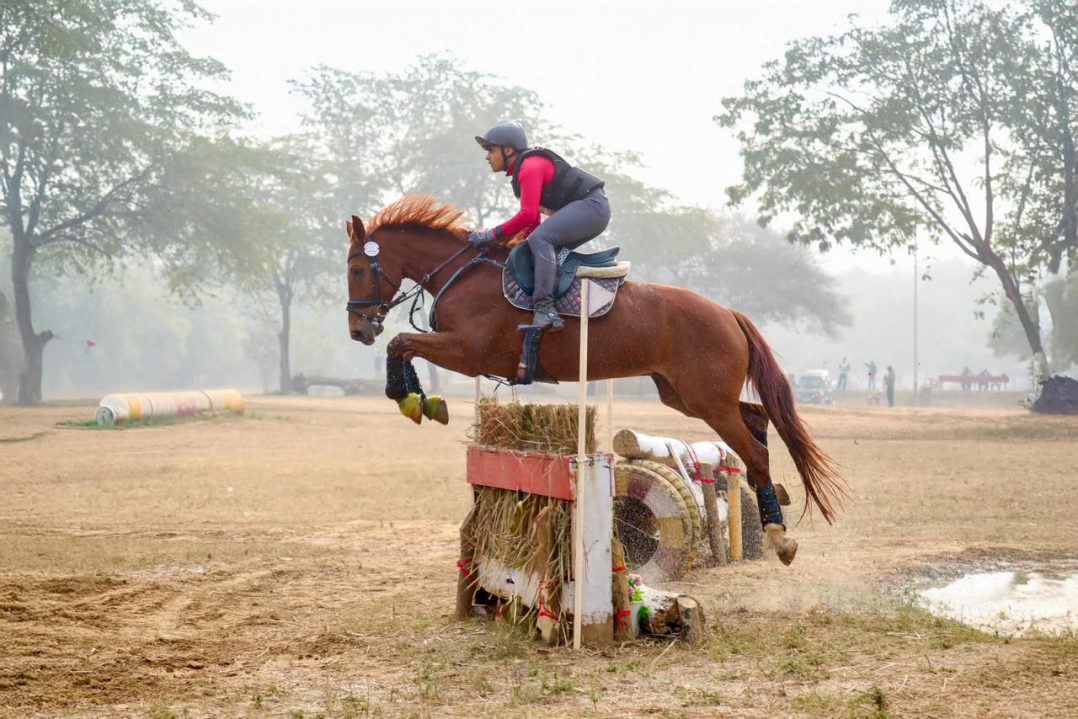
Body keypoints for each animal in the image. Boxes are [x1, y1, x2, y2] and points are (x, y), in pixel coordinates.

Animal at [345, 195, 846, 563]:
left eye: (357, 269)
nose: (358, 330)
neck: (460, 274)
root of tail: (727, 313)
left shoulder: (469, 352)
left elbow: (402, 344)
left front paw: (411, 399)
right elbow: (403, 346)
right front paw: (421, 400)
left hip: (707, 401)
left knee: (755, 448)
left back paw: (780, 534)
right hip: (684, 396)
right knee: (757, 417)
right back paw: (774, 505)